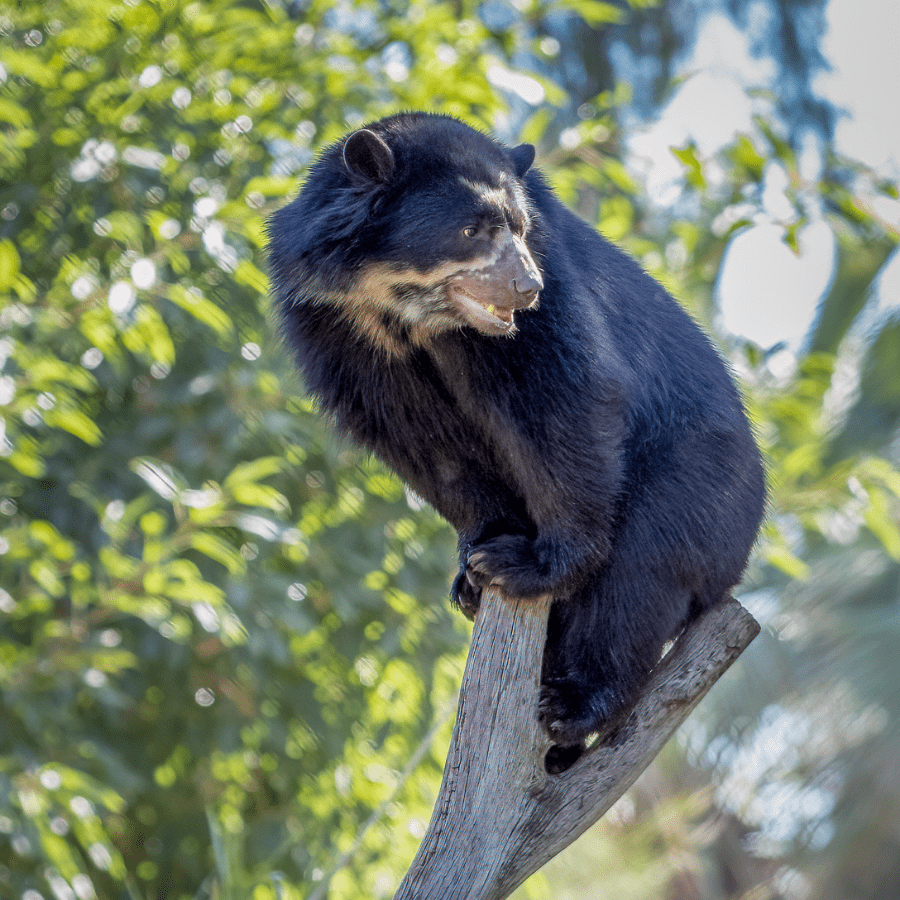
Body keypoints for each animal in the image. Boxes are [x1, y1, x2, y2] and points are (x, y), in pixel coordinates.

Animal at [267, 112, 765, 768]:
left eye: (522, 229)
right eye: (472, 229)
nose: (526, 286)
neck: (401, 314)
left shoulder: (544, 305)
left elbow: (560, 397)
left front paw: (526, 563)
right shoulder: (336, 329)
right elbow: (424, 443)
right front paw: (476, 565)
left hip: (702, 477)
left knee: (641, 570)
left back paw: (575, 703)